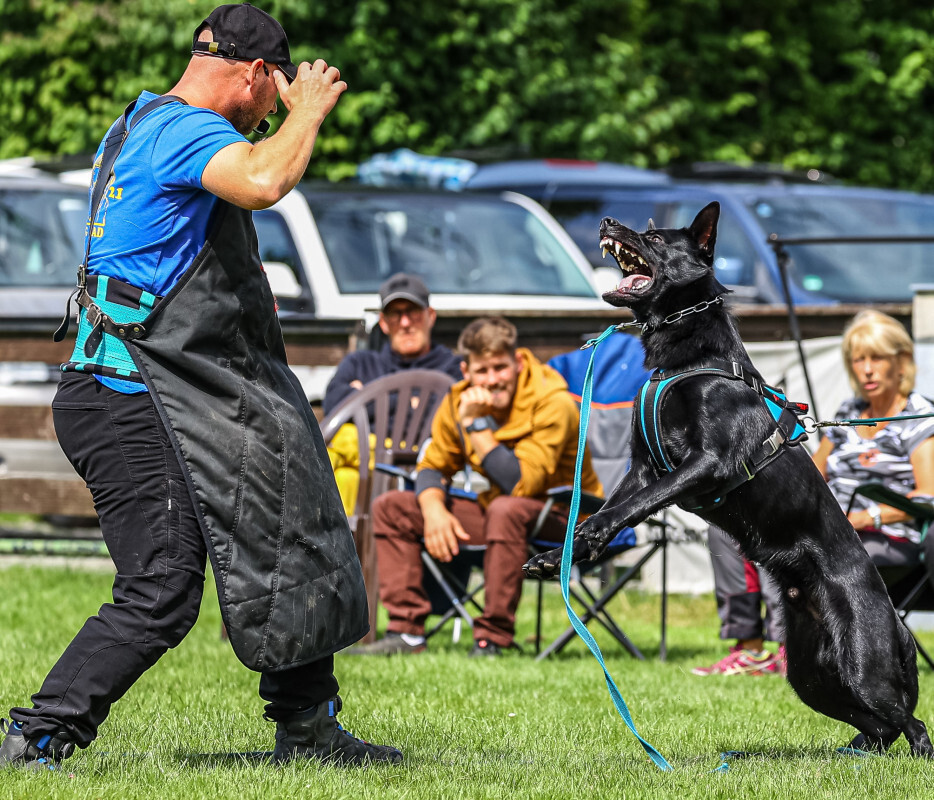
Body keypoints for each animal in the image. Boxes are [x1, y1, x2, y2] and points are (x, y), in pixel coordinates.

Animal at [528, 202, 934, 756]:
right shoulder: (643, 468)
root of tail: (896, 618)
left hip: (862, 664)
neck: (689, 357)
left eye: (656, 237)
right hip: (810, 674)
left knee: (910, 722)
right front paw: (560, 553)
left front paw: (584, 536)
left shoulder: (707, 464)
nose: (608, 222)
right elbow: (618, 505)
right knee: (879, 725)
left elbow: (630, 507)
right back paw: (850, 754)